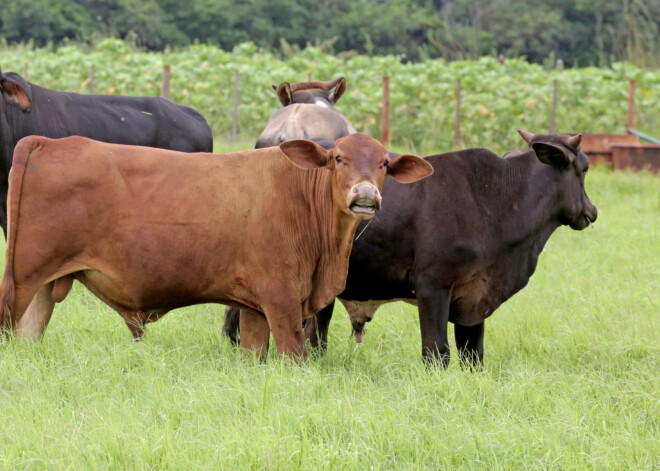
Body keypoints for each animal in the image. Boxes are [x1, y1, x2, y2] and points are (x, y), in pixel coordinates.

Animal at [0, 132, 434, 358]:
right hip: (22, 278)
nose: (366, 196)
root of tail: (50, 141)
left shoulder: (254, 306)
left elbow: (255, 353)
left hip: (44, 285)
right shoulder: (281, 298)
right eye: (340, 158)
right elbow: (293, 353)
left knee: (29, 334)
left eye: (383, 163)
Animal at [223, 131, 600, 366]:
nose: (591, 212)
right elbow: (436, 352)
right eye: (583, 169)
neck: (495, 200)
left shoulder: (474, 299)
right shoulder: (433, 287)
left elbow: (472, 355)